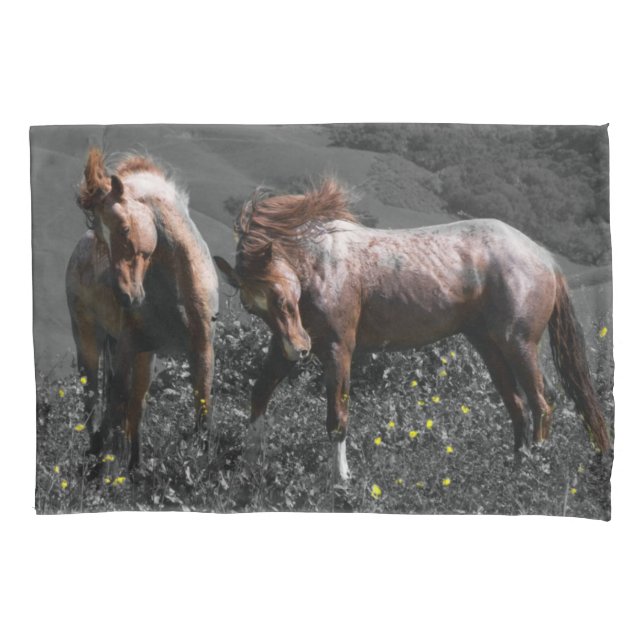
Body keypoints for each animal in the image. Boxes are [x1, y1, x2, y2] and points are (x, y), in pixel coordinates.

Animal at [66, 148, 219, 471]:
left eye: (124, 229)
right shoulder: (126, 348)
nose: (126, 297)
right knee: (93, 401)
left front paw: (202, 467)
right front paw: (108, 471)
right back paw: (96, 456)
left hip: (145, 357)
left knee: (135, 407)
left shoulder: (202, 350)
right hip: (89, 340)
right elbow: (115, 407)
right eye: (102, 238)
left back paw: (134, 465)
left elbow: (201, 411)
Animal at [214, 179, 610, 482]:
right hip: (490, 347)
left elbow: (337, 418)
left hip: (519, 345)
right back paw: (517, 469)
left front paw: (341, 481)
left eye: (281, 296)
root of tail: (543, 256)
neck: (322, 263)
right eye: (252, 307)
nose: (299, 349)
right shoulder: (284, 348)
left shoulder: (338, 349)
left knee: (542, 402)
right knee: (519, 406)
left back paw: (535, 470)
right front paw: (248, 468)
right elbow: (259, 396)